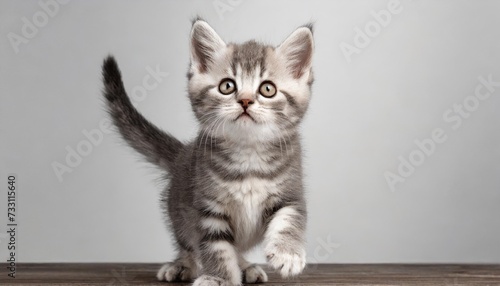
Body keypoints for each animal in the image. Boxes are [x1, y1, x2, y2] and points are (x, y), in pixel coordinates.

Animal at [101, 19, 312, 284]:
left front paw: (288, 254)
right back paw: (182, 265)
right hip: (178, 210)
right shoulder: (208, 207)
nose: (245, 101)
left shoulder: (291, 191)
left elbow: (290, 219)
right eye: (227, 86)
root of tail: (183, 154)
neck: (248, 155)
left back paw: (245, 266)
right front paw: (219, 278)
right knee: (188, 243)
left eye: (267, 89)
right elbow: (216, 247)